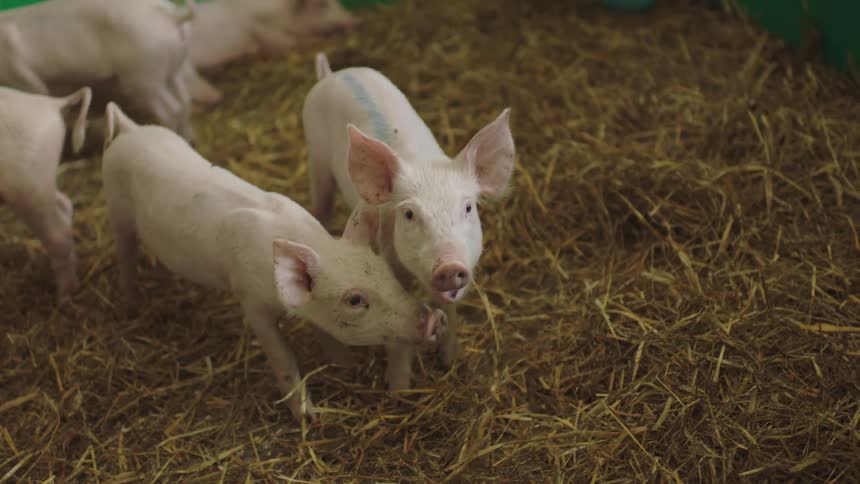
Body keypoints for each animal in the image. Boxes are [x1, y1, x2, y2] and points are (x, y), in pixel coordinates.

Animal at [0, 0, 197, 142]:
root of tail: (171, 15)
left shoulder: (21, 75)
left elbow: (37, 90)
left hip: (144, 76)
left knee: (171, 108)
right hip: (173, 69)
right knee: (185, 100)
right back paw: (189, 138)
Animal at [0, 85, 92, 300]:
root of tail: (52, 104)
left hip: (28, 186)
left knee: (59, 235)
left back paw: (64, 298)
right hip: (40, 183)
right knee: (64, 205)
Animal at [101, 102, 447, 422]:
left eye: (387, 274)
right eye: (354, 299)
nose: (433, 318)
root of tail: (130, 131)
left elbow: (324, 331)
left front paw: (345, 367)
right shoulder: (250, 301)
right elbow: (281, 357)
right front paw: (309, 418)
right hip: (117, 212)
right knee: (126, 254)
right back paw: (129, 306)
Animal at [302, 53, 515, 390]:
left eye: (468, 207)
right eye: (409, 214)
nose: (449, 266)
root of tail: (333, 74)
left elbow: (451, 309)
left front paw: (448, 362)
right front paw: (398, 389)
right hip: (316, 160)